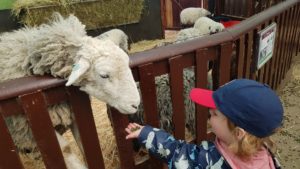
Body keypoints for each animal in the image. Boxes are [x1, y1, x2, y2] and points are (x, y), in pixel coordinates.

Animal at [0, 12, 141, 168]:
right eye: (104, 75)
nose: (135, 104)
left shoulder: (72, 113)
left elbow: (85, 142)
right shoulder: (26, 128)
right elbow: (66, 149)